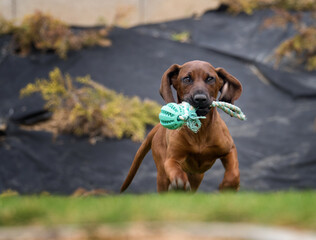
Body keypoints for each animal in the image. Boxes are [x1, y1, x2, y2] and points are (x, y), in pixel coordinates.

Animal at [120, 60, 242, 193]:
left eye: (210, 78)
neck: (201, 130)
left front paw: (229, 186)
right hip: (162, 174)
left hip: (196, 176)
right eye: (187, 79)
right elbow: (174, 167)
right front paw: (179, 181)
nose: (200, 99)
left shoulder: (229, 149)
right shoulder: (171, 159)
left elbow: (234, 172)